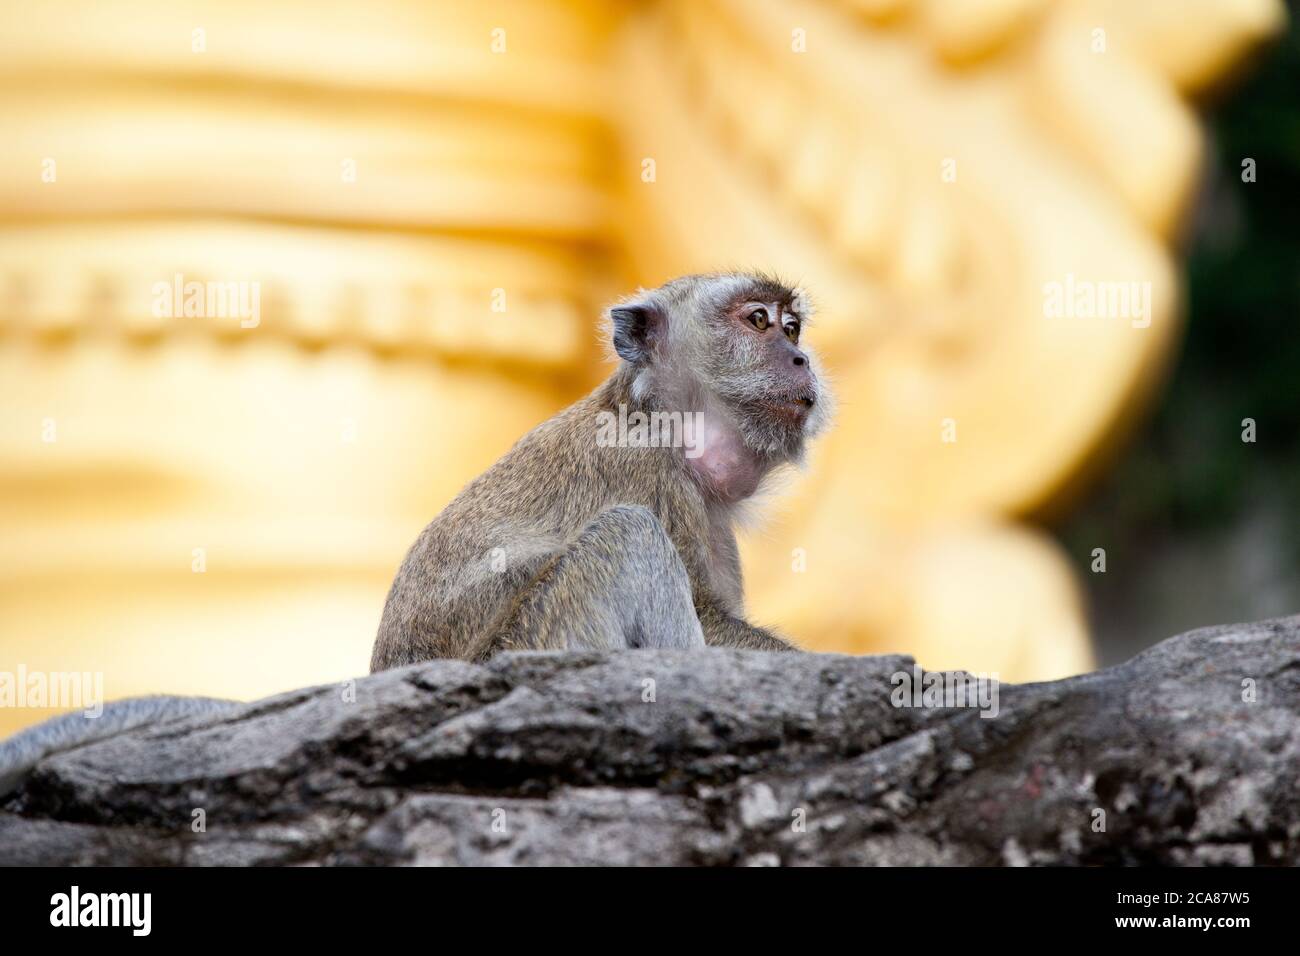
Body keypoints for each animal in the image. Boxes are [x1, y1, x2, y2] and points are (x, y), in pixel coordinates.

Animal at [369, 270, 832, 671]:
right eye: (759, 320)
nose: (800, 359)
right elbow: (707, 618)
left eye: (791, 328)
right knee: (629, 532)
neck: (650, 415)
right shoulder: (642, 468)